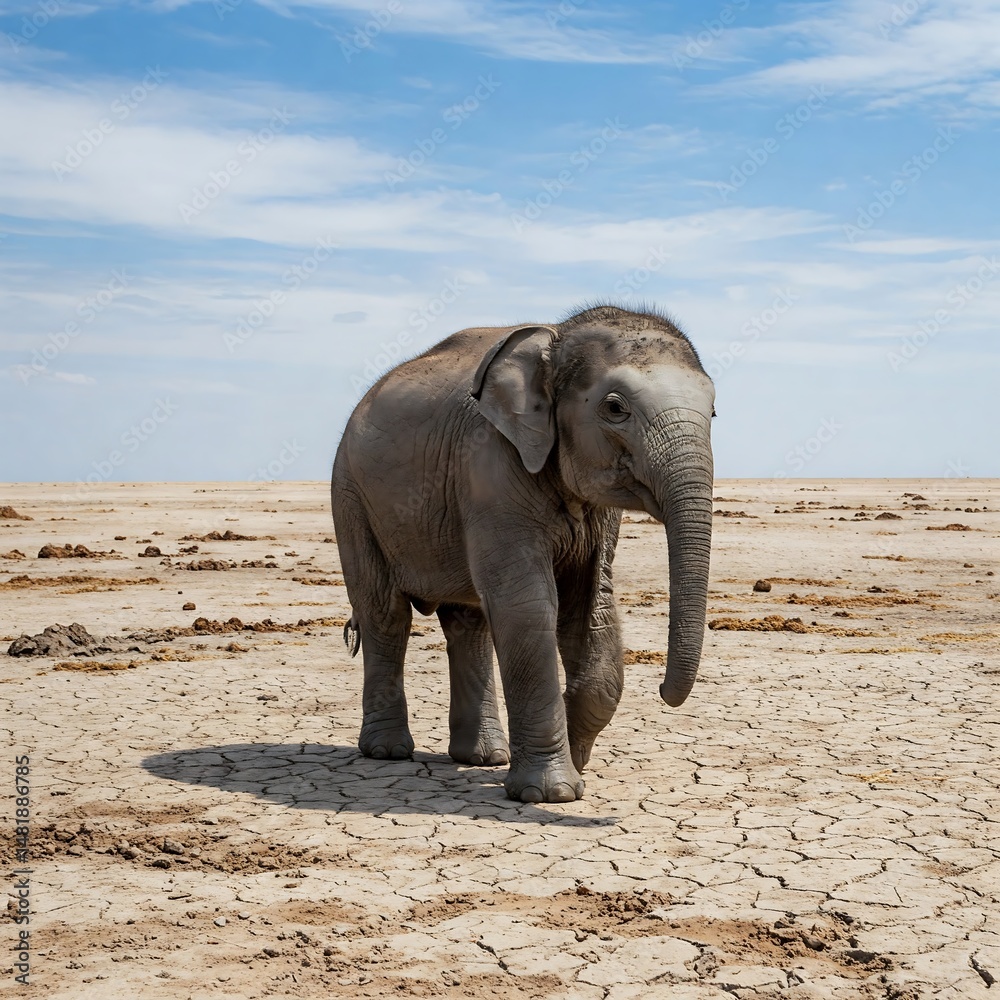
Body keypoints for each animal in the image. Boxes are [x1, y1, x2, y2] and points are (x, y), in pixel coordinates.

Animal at [331, 304, 715, 803]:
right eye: (615, 409)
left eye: (714, 410)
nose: (666, 692)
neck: (557, 338)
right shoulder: (489, 467)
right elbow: (528, 606)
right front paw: (550, 794)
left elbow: (591, 606)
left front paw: (575, 760)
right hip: (351, 495)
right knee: (384, 613)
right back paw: (388, 752)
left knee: (468, 622)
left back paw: (485, 757)